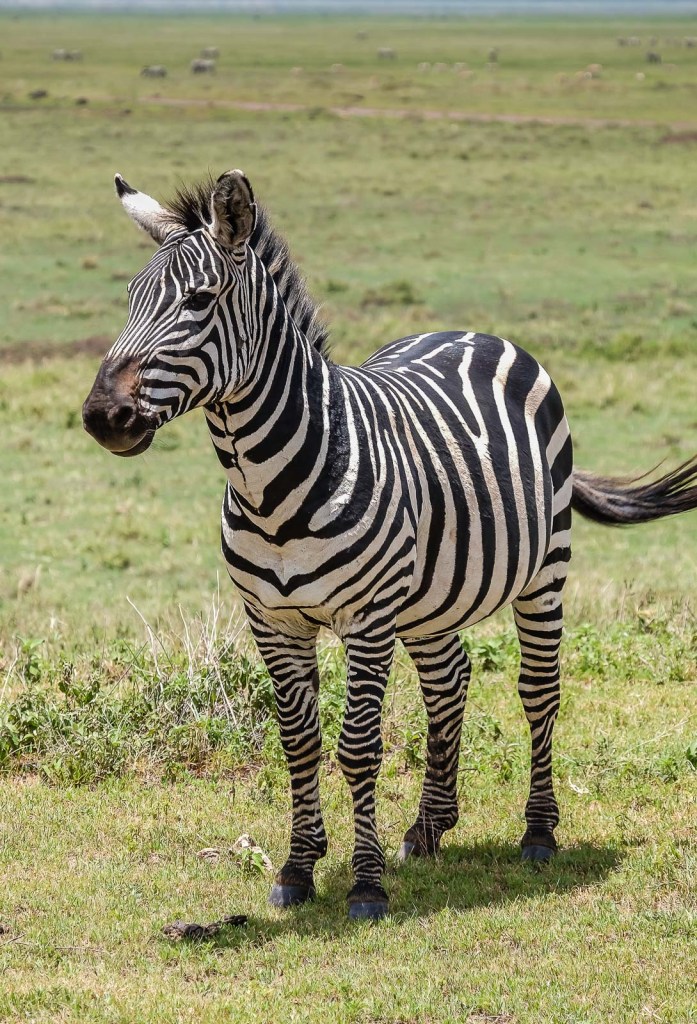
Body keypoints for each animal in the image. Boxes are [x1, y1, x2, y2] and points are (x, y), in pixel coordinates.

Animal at [82, 169, 697, 921]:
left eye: (199, 300)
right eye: (130, 301)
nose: (102, 416)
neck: (266, 485)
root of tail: (476, 332)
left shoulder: (367, 618)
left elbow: (357, 746)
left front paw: (366, 884)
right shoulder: (272, 621)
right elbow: (298, 743)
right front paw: (298, 867)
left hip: (544, 569)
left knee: (538, 690)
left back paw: (538, 832)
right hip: (432, 596)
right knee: (449, 680)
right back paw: (430, 827)